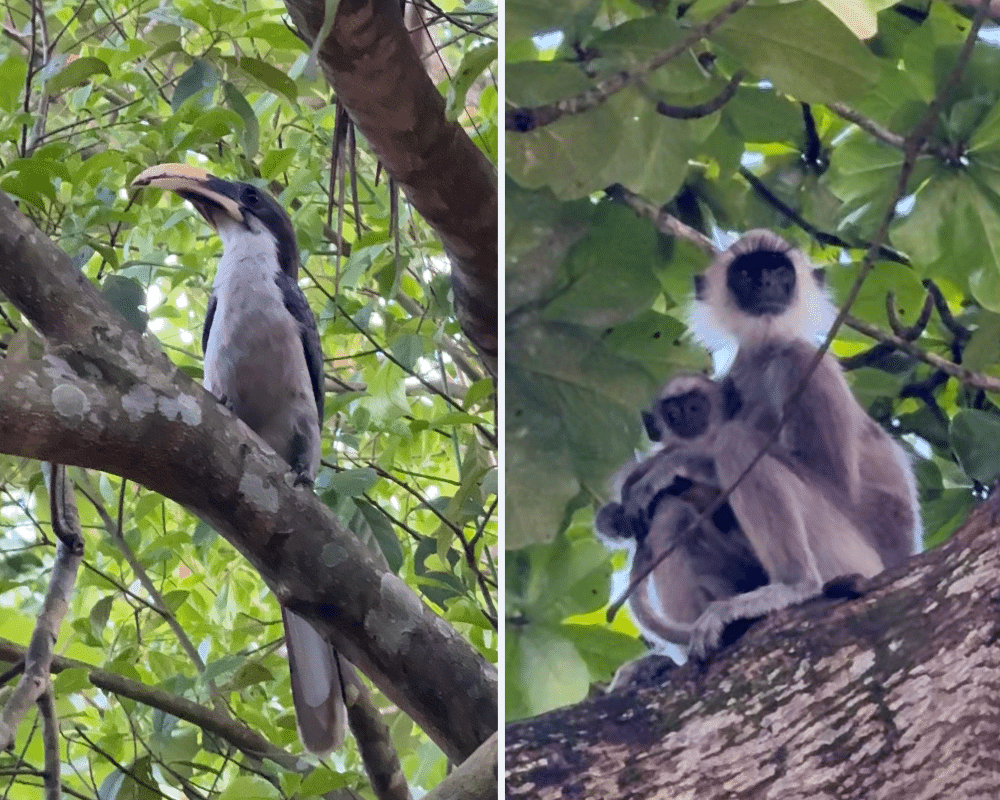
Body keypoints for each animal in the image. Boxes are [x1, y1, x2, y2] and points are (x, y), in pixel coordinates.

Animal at [688, 230, 922, 569]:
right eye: (746, 274)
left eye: (779, 271)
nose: (765, 283)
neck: (767, 354)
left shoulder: (804, 363)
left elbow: (838, 486)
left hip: (854, 556)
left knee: (736, 441)